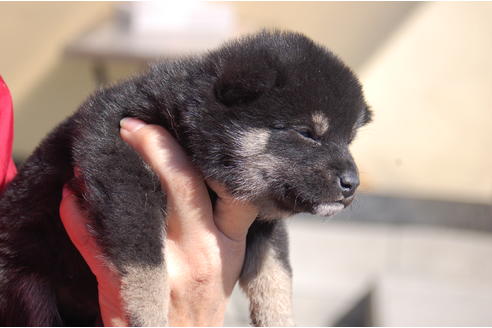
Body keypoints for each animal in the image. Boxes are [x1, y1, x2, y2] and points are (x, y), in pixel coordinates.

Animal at [0, 30, 368, 326]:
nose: (353, 184)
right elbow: (145, 254)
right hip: (28, 287)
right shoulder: (118, 163)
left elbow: (276, 269)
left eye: (349, 140)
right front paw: (147, 313)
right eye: (307, 133)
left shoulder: (263, 215)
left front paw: (279, 317)